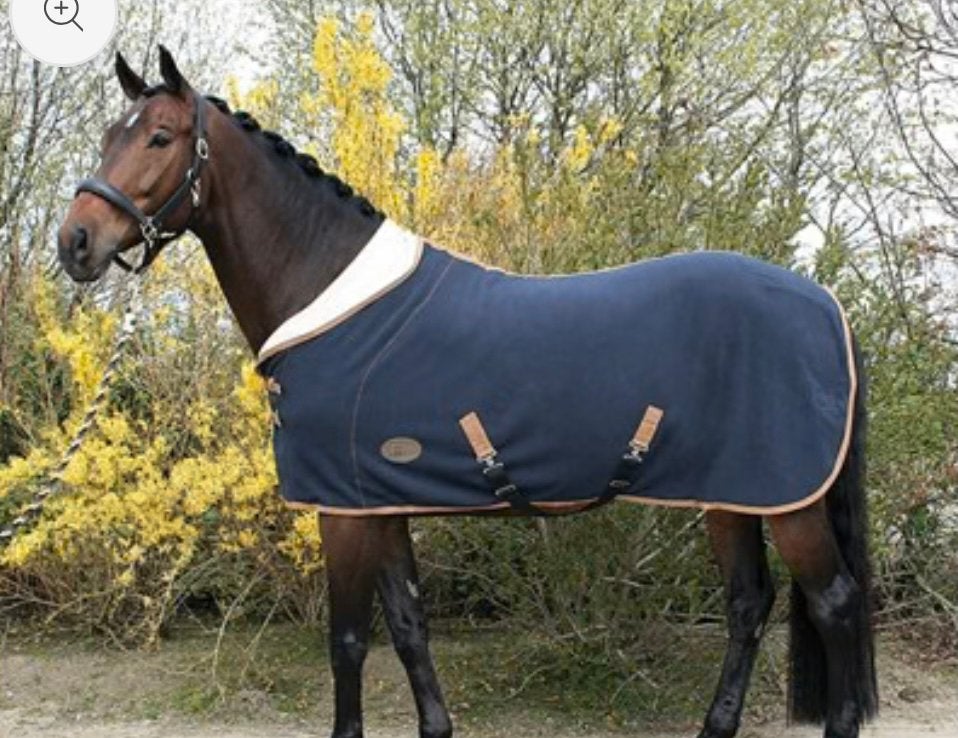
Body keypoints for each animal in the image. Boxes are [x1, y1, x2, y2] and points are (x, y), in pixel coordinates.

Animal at [56, 48, 877, 738]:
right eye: (106, 135)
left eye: (160, 138)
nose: (75, 243)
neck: (328, 293)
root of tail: (826, 304)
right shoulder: (377, 504)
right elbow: (408, 625)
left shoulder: (341, 513)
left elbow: (347, 640)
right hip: (733, 495)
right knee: (749, 604)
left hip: (789, 502)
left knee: (834, 603)